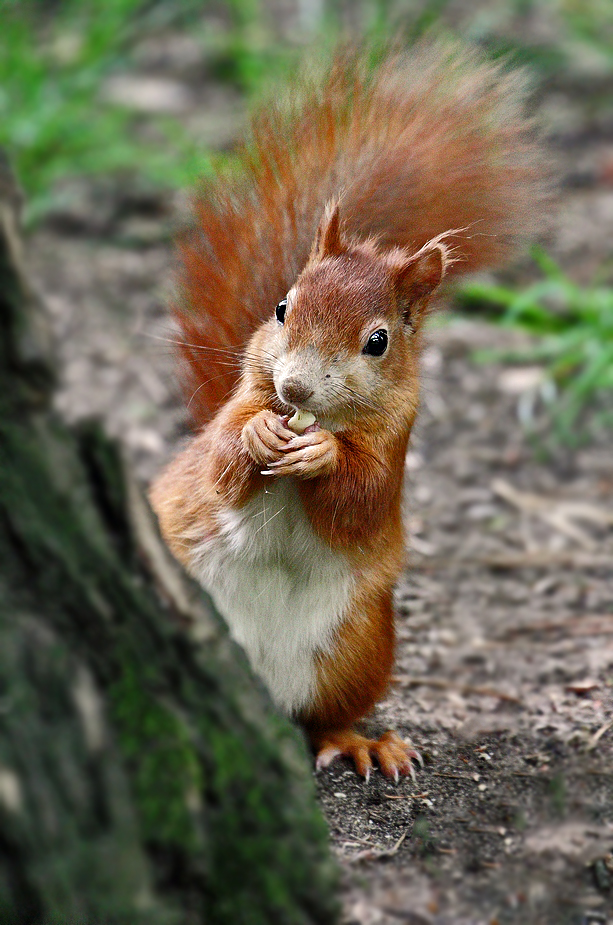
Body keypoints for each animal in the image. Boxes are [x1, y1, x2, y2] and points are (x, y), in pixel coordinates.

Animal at [151, 43, 544, 780]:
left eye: (377, 341)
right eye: (281, 306)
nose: (295, 391)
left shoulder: (396, 442)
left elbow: (361, 496)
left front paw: (323, 454)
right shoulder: (228, 418)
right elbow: (218, 463)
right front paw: (258, 432)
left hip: (355, 648)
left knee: (322, 718)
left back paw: (360, 741)